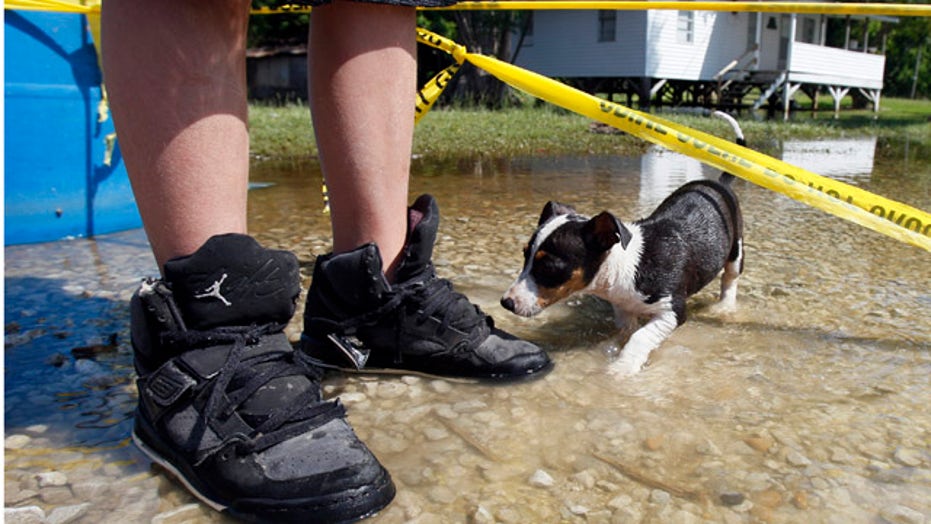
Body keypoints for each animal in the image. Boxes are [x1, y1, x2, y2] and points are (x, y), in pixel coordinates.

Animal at [498, 112, 748, 374]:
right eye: (524, 255)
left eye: (548, 266)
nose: (506, 303)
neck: (628, 265)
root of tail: (720, 183)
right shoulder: (622, 307)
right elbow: (627, 331)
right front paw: (611, 349)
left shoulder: (673, 311)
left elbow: (640, 336)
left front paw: (622, 368)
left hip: (736, 250)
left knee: (730, 279)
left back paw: (725, 307)